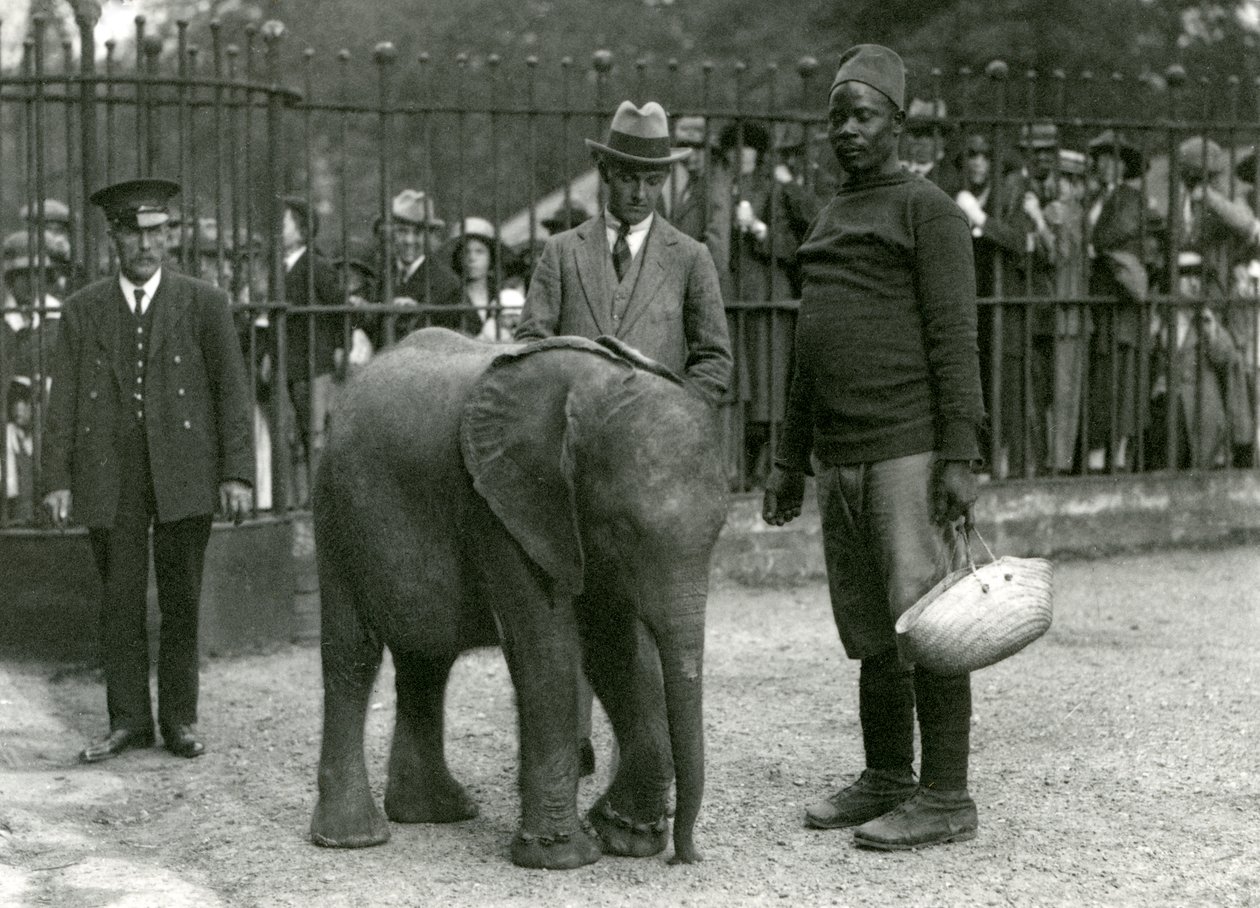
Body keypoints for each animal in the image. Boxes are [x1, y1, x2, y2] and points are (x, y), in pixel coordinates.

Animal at [307, 329, 730, 866]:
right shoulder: (500, 507)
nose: (686, 857)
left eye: (721, 531)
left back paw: (435, 813)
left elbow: (617, 652)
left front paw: (623, 839)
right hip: (336, 512)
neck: (592, 387)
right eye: (622, 529)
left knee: (426, 659)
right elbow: (545, 649)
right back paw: (352, 838)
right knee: (353, 655)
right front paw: (563, 859)